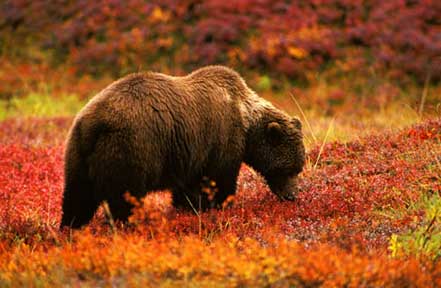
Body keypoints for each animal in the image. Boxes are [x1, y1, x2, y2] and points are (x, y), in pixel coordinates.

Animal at [60, 64, 304, 227]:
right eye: (289, 169)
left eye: (298, 168)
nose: (293, 196)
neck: (246, 118)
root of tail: (93, 122)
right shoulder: (222, 138)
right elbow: (219, 178)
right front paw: (219, 205)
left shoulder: (188, 152)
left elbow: (186, 187)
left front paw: (187, 207)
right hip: (130, 147)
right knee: (123, 196)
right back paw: (128, 223)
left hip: (78, 152)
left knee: (77, 195)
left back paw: (70, 227)